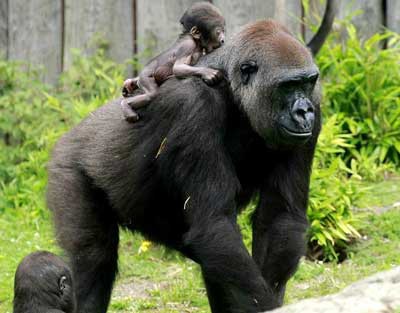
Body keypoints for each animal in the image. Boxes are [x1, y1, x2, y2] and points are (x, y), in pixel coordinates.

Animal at [47, 1, 336, 310]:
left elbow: (279, 218)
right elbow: (215, 223)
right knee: (93, 256)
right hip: (67, 168)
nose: (303, 111)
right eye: (288, 86)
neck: (232, 89)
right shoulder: (194, 105)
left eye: (307, 83)